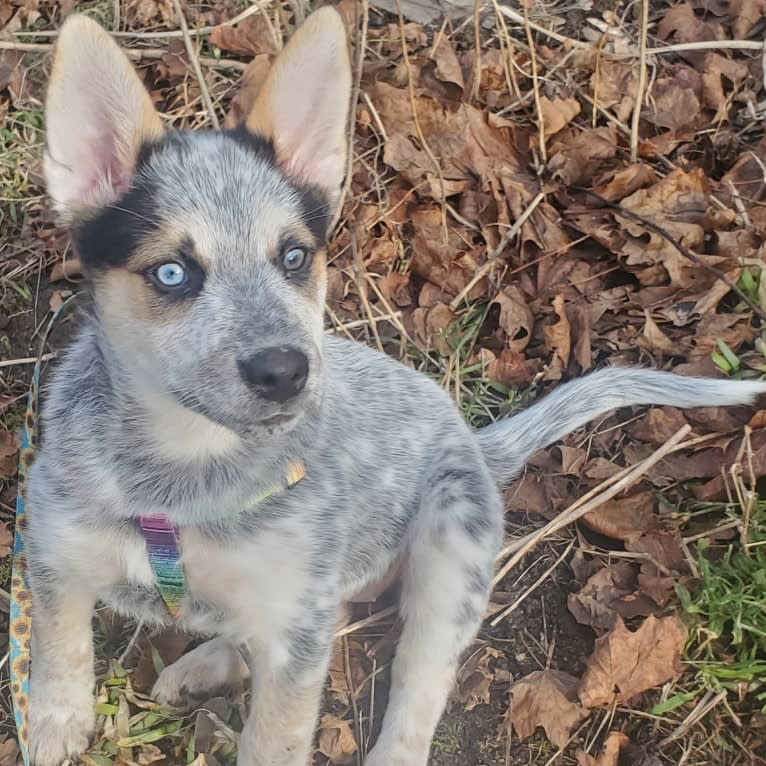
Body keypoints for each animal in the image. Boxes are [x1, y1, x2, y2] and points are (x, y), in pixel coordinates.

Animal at [27, 7, 766, 766]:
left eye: (294, 257)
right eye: (172, 273)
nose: (286, 370)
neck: (180, 476)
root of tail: (475, 443)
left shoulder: (298, 633)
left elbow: (276, 738)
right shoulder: (52, 554)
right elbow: (57, 653)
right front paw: (54, 723)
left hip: (449, 555)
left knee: (420, 685)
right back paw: (202, 665)